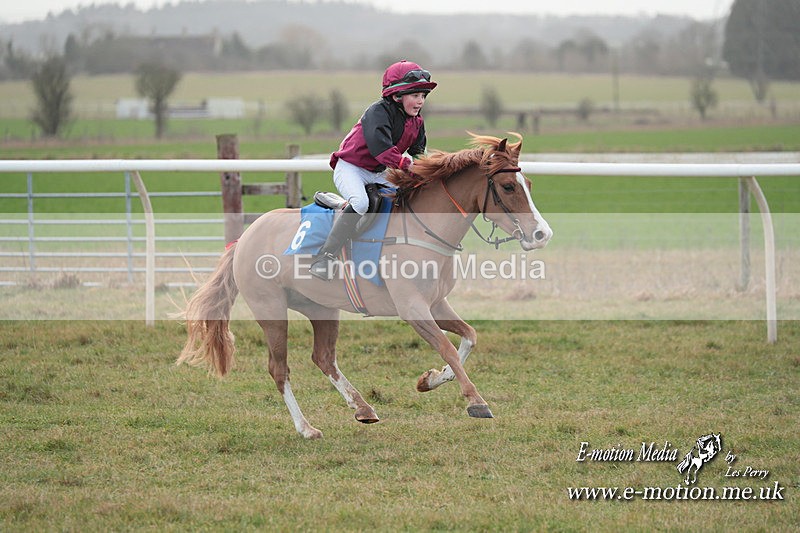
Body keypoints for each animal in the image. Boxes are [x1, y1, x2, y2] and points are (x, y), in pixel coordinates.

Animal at [177, 133, 553, 439]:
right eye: (508, 187)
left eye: (529, 184)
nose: (541, 234)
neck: (423, 231)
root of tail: (245, 237)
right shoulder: (412, 308)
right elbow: (447, 347)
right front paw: (475, 400)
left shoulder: (436, 304)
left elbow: (469, 338)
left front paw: (430, 379)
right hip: (271, 311)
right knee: (279, 369)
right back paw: (307, 428)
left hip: (321, 308)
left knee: (323, 357)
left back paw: (363, 408)